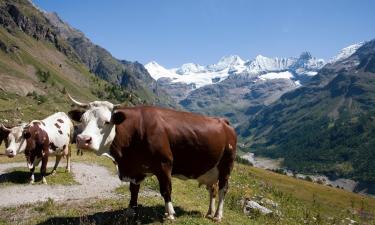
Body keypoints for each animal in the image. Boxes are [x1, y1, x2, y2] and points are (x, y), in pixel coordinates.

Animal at [68, 94, 238, 221]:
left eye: (107, 121)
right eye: (82, 120)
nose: (83, 140)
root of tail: (224, 122)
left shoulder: (164, 164)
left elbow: (166, 190)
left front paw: (170, 214)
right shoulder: (135, 168)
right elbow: (133, 190)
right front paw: (131, 209)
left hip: (226, 165)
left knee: (223, 189)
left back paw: (218, 215)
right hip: (211, 169)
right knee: (213, 189)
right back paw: (209, 212)